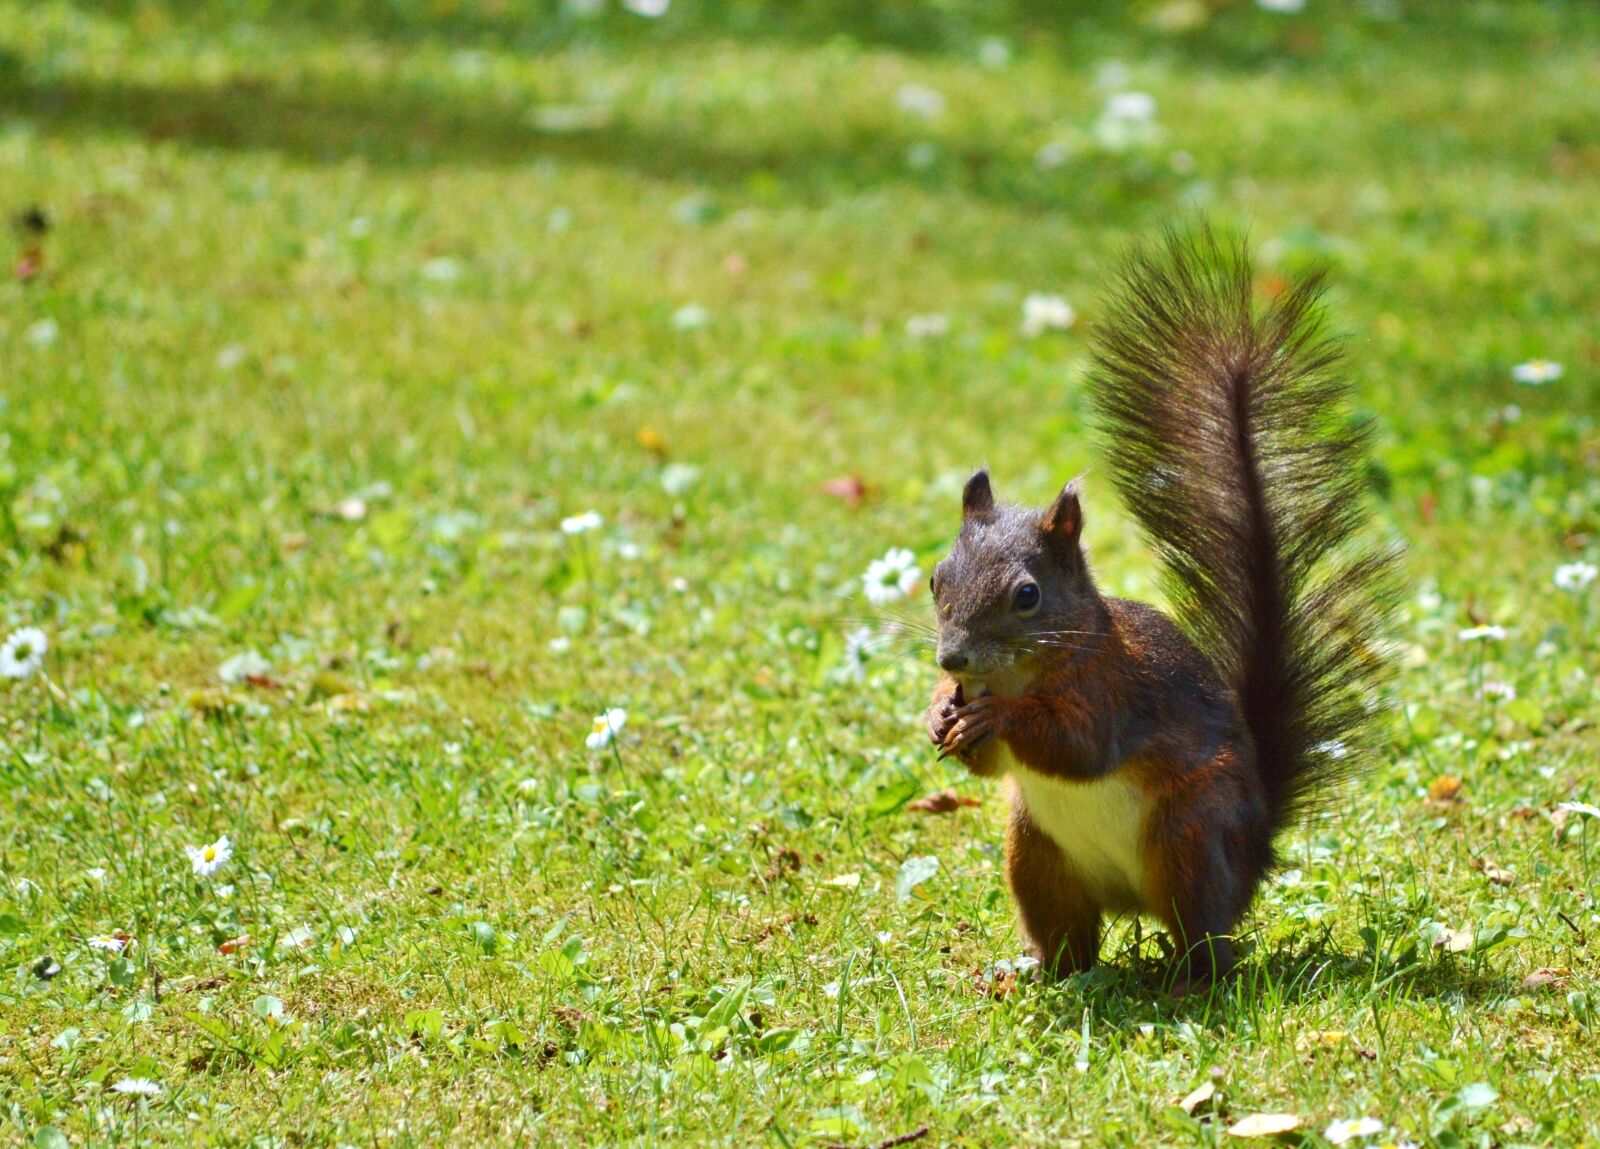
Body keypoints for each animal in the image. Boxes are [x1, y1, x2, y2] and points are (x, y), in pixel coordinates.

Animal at [924, 224, 1394, 992]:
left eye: (1027, 596)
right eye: (937, 579)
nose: (952, 658)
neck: (1020, 671)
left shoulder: (1112, 690)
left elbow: (1078, 745)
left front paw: (1000, 717)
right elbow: (988, 766)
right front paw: (939, 711)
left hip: (1189, 837)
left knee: (1207, 938)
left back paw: (1189, 981)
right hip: (1036, 855)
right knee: (1072, 941)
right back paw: (1035, 972)